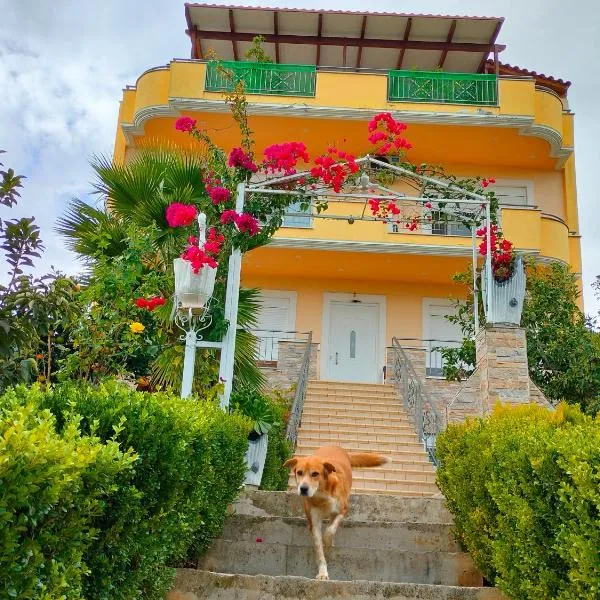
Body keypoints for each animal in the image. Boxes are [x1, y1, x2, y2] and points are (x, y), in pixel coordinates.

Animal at [284, 448, 390, 580]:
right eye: (299, 472)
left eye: (315, 474)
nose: (303, 489)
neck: (321, 495)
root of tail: (336, 447)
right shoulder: (314, 523)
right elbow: (319, 549)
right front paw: (323, 573)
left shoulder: (343, 510)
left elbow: (330, 531)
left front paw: (328, 543)